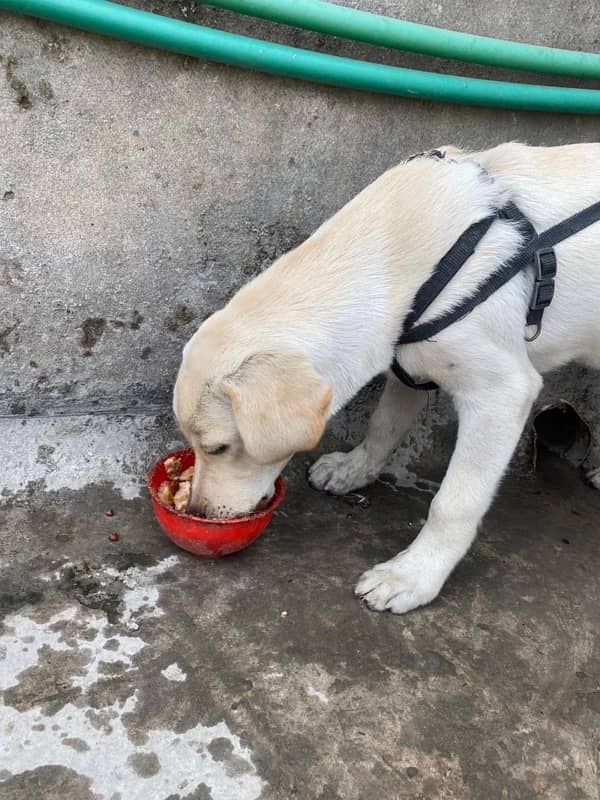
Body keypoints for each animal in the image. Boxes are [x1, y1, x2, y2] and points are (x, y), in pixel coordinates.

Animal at [173, 142, 600, 612]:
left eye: (218, 448)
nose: (197, 513)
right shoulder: (409, 364)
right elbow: (383, 426)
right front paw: (353, 470)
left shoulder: (502, 393)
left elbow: (454, 502)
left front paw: (413, 575)